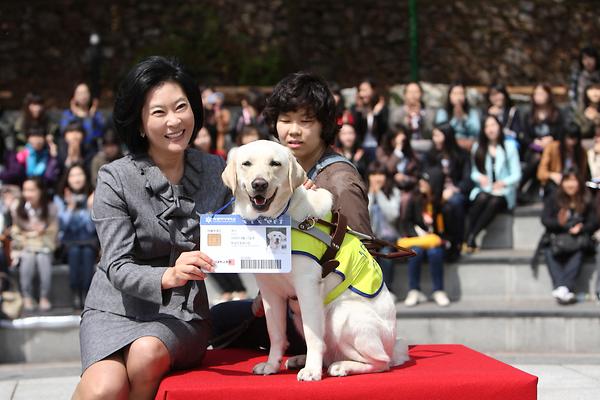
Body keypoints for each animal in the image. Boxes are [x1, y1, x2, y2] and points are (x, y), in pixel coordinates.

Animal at [223, 141, 410, 382]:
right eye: (246, 163)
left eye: (275, 163)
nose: (259, 184)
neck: (276, 220)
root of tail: (394, 346)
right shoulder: (269, 291)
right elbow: (275, 333)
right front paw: (272, 365)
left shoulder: (307, 286)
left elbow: (313, 336)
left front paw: (311, 371)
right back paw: (302, 359)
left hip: (340, 313)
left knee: (380, 362)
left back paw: (341, 366)